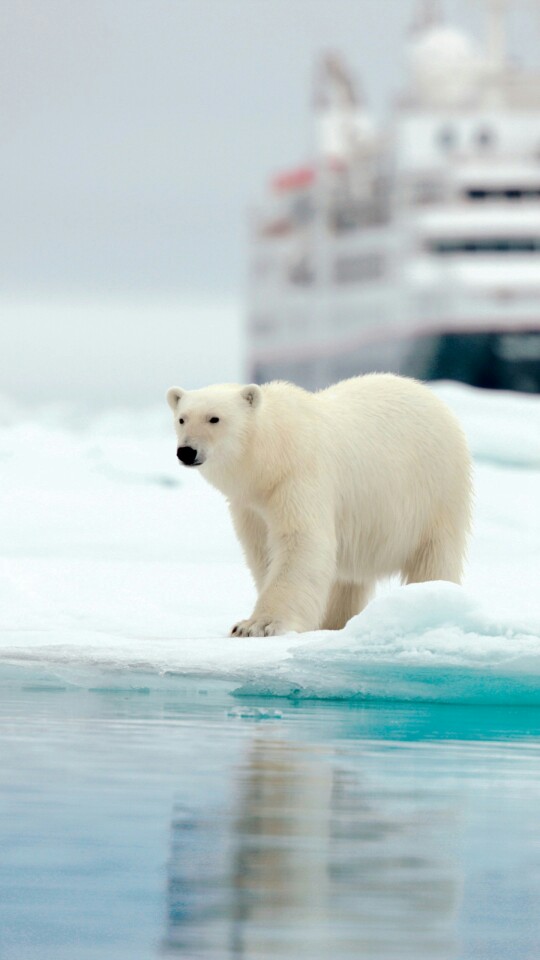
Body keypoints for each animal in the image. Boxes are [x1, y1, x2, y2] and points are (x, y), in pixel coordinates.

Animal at [166, 376, 472, 636]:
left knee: (434, 555)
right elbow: (262, 549)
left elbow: (300, 541)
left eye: (214, 418)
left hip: (436, 491)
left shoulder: (299, 477)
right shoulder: (251, 504)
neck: (272, 457)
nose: (186, 451)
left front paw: (257, 626)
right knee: (347, 578)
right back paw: (333, 623)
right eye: (182, 419)